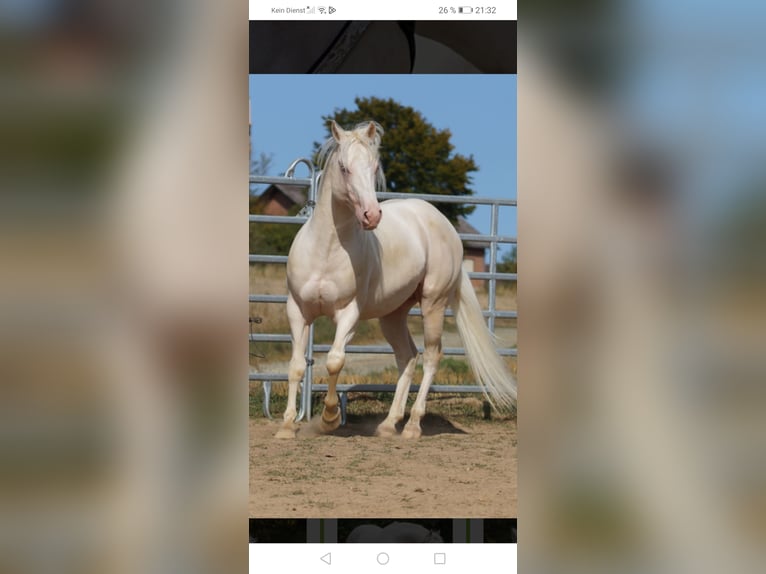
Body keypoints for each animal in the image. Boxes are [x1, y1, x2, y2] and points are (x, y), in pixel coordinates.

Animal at [276, 119, 516, 438]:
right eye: (344, 167)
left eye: (374, 167)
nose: (372, 215)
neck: (325, 251)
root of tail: (443, 224)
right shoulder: (297, 310)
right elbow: (296, 366)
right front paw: (287, 426)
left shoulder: (349, 313)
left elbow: (335, 360)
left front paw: (329, 418)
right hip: (393, 315)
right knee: (408, 356)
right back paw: (389, 424)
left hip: (433, 304)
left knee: (431, 356)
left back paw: (412, 426)